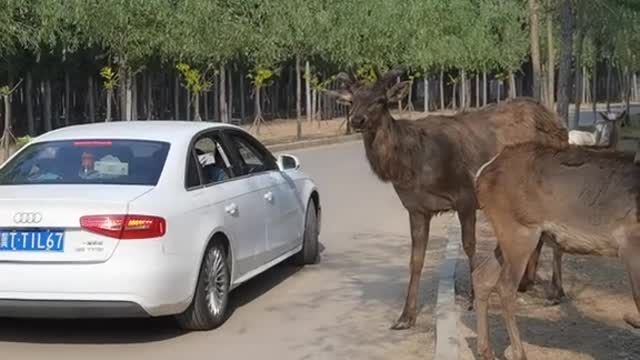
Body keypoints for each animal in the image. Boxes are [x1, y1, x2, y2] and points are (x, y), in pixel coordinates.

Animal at [328, 67, 568, 330]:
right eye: (352, 100)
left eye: (380, 100)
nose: (356, 120)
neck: (413, 165)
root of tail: (559, 123)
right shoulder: (416, 208)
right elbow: (416, 259)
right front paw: (405, 317)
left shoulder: (465, 195)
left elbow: (469, 246)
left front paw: (472, 299)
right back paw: (527, 282)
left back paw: (556, 293)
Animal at [470, 141, 640, 360]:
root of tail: (481, 173)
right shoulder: (632, 247)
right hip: (520, 231)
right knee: (505, 286)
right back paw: (518, 353)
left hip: (512, 238)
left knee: (482, 276)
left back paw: (486, 351)